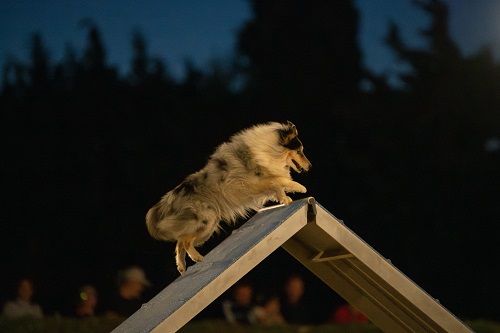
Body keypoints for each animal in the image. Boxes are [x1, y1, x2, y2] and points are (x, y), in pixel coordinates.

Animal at [145, 121, 310, 272]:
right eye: (300, 151)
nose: (310, 166)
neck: (269, 149)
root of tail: (172, 196)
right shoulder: (253, 182)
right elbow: (280, 180)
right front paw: (300, 187)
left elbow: (278, 186)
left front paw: (285, 199)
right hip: (206, 220)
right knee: (184, 241)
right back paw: (197, 257)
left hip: (205, 225)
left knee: (180, 240)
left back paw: (181, 266)